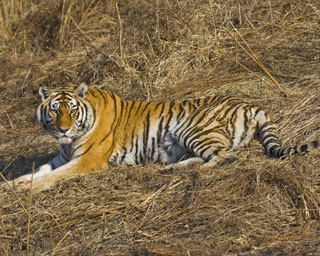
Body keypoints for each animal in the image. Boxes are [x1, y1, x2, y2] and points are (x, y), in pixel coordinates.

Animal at [3, 83, 320, 191]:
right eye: (54, 111)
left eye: (71, 111)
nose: (63, 129)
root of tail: (250, 104)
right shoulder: (62, 155)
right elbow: (41, 168)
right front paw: (14, 183)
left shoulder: (88, 160)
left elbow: (55, 175)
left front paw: (29, 190)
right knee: (204, 156)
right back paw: (169, 168)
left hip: (190, 127)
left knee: (224, 156)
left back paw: (185, 170)